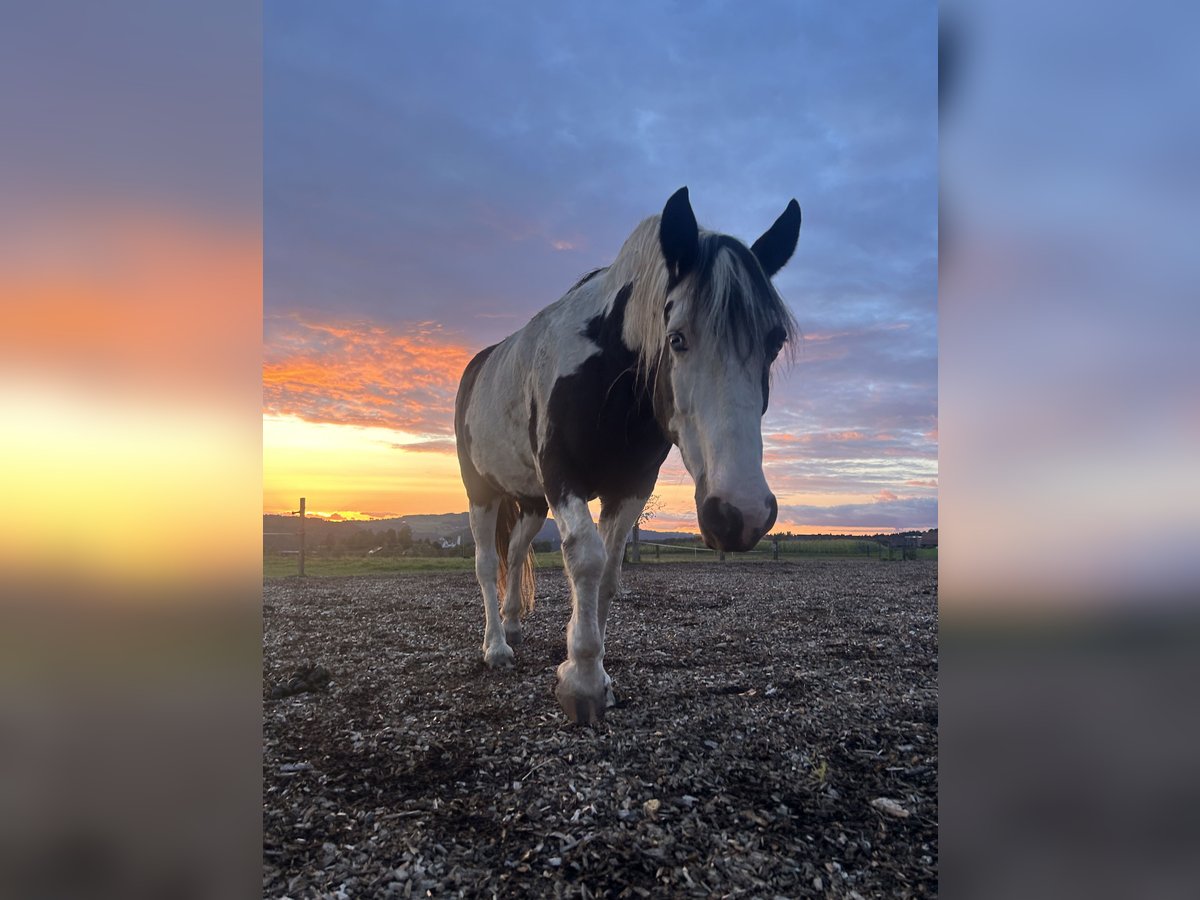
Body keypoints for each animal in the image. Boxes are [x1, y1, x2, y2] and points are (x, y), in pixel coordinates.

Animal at [453, 187, 801, 724]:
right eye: (676, 337)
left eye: (774, 341)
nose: (740, 514)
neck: (608, 376)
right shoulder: (563, 478)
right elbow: (587, 560)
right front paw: (581, 680)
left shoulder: (632, 486)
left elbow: (611, 573)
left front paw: (592, 670)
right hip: (482, 492)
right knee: (488, 563)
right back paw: (496, 648)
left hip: (530, 502)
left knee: (514, 552)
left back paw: (512, 628)